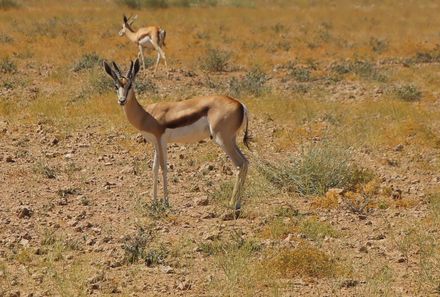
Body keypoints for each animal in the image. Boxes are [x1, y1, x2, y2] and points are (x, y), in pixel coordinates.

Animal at [101, 59, 249, 216]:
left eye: (130, 85)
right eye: (116, 86)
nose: (122, 100)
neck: (146, 114)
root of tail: (240, 105)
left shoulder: (161, 140)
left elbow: (163, 168)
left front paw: (165, 203)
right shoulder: (156, 143)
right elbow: (154, 169)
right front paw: (154, 202)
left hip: (222, 140)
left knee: (239, 164)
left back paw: (232, 205)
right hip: (231, 140)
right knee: (246, 162)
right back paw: (238, 204)